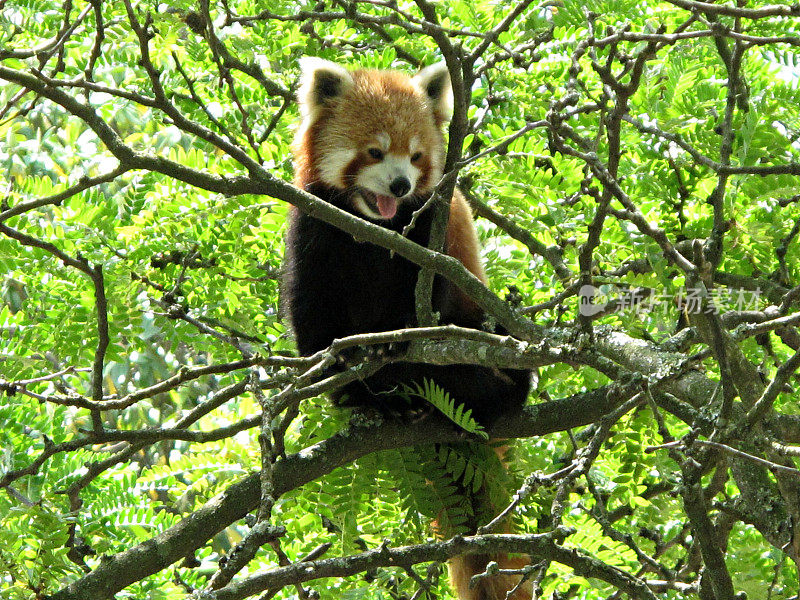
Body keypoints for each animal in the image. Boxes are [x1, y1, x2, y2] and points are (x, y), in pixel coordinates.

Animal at [282, 57, 532, 600]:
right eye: (375, 152)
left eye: (416, 157)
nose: (399, 185)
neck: (374, 229)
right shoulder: (314, 231)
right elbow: (313, 315)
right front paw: (346, 381)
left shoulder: (431, 236)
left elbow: (421, 309)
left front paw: (392, 358)